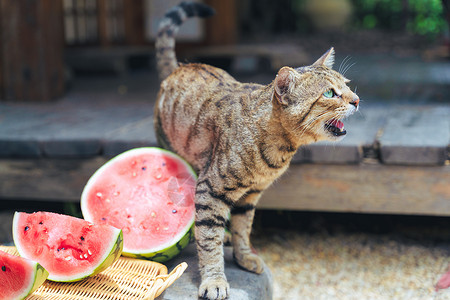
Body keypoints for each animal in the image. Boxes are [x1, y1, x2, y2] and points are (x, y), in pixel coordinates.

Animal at [153, 2, 360, 300]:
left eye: (347, 84)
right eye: (330, 93)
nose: (357, 100)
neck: (278, 147)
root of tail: (179, 66)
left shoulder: (251, 194)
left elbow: (243, 227)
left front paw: (243, 256)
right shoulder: (209, 189)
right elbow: (209, 239)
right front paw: (214, 279)